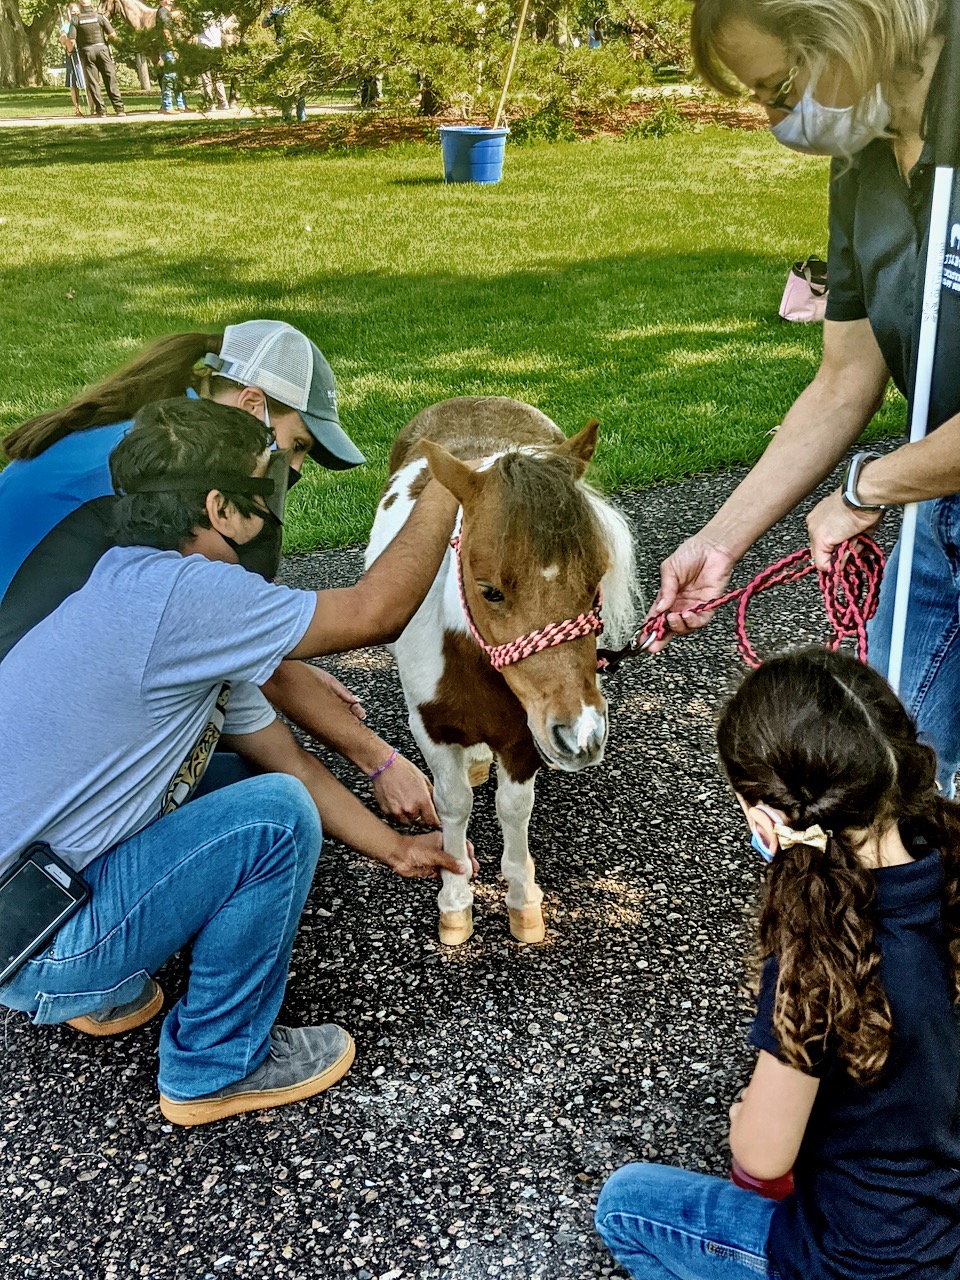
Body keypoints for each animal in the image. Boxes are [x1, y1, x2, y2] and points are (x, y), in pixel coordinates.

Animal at [368, 399, 640, 952]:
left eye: (595, 581)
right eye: (489, 588)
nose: (581, 735)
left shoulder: (522, 735)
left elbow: (513, 809)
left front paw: (522, 900)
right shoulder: (431, 729)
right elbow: (453, 805)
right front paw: (455, 903)